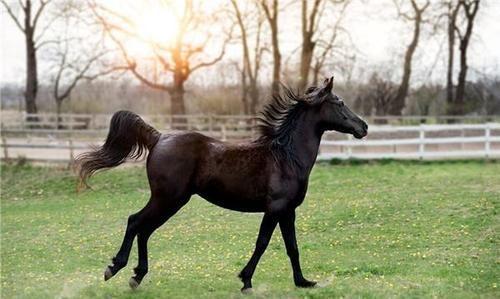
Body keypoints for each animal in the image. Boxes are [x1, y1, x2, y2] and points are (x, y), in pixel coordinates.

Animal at [77, 77, 368, 292]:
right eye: (339, 102)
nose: (363, 127)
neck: (287, 157)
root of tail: (158, 138)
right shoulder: (275, 209)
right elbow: (262, 243)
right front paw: (246, 281)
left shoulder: (288, 211)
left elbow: (292, 247)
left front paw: (303, 282)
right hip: (168, 198)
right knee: (135, 222)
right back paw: (115, 269)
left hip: (170, 201)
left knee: (145, 229)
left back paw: (136, 276)